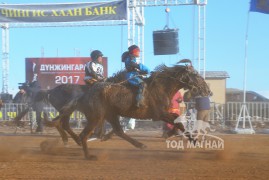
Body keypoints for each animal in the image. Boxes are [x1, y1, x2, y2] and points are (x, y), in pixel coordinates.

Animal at [46, 61, 211, 160]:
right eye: (195, 75)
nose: (208, 91)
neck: (161, 87)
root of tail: (84, 95)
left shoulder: (164, 114)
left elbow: (178, 121)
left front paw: (191, 139)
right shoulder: (160, 114)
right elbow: (179, 122)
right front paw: (193, 140)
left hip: (110, 115)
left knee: (118, 131)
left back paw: (139, 144)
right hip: (96, 117)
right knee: (80, 132)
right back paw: (88, 154)